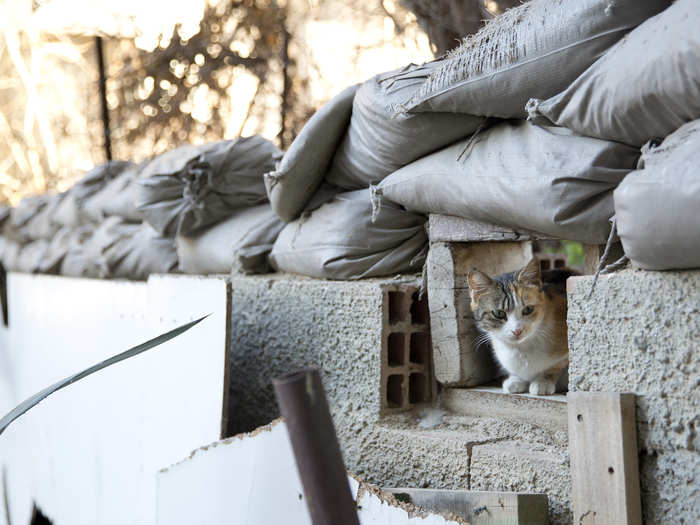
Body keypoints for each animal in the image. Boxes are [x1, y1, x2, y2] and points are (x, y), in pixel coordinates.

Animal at [468, 256, 576, 396]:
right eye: (499, 313)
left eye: (528, 309)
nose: (517, 330)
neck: (520, 348)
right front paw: (516, 379)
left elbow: (556, 366)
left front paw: (543, 381)